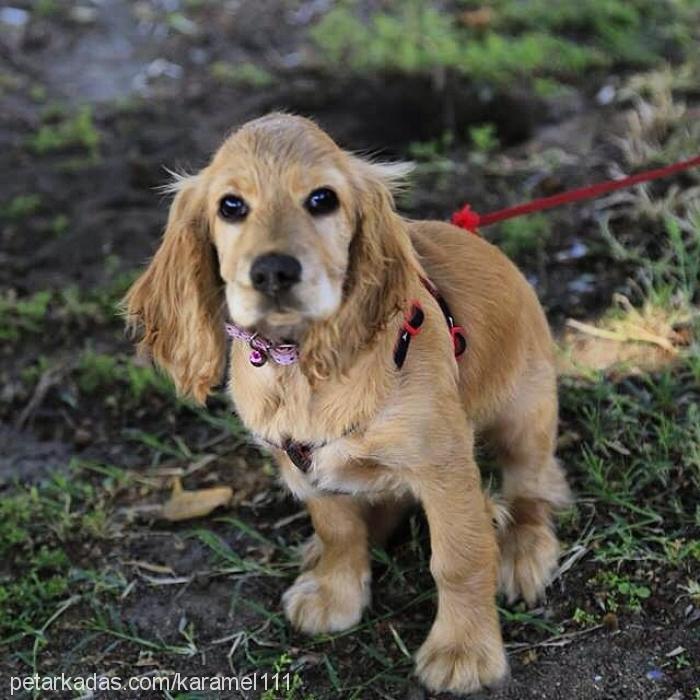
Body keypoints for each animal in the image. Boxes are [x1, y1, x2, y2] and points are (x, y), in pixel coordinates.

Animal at [126, 115, 572, 696]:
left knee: (533, 486)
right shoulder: (301, 464)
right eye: (231, 206)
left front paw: (464, 650)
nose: (273, 271)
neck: (298, 365)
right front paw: (335, 593)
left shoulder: (443, 466)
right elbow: (337, 529)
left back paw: (522, 549)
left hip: (524, 416)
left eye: (322, 199)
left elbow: (458, 558)